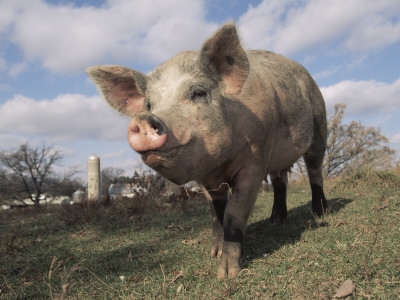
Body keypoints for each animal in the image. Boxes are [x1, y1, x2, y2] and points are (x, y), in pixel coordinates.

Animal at [86, 22, 326, 278]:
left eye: (198, 93)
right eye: (149, 104)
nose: (143, 120)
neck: (220, 164)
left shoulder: (255, 160)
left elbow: (234, 213)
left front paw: (227, 275)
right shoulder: (204, 177)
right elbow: (216, 212)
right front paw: (215, 254)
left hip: (319, 126)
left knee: (315, 172)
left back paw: (320, 214)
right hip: (279, 156)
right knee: (280, 181)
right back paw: (275, 222)